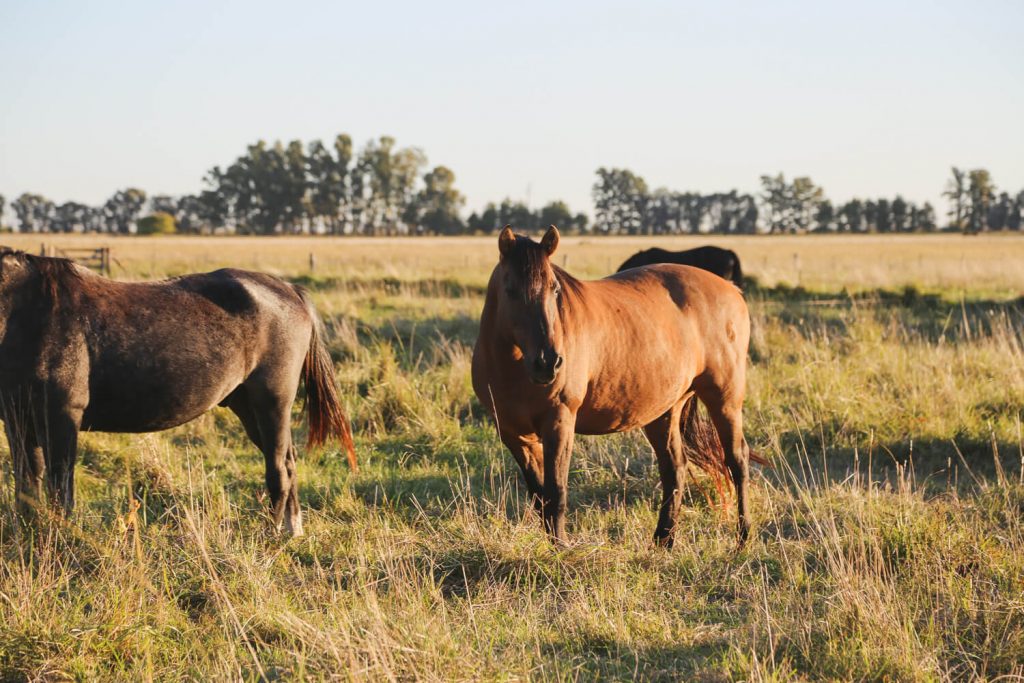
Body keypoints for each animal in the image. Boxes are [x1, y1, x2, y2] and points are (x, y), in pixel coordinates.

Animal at [0, 248, 356, 536]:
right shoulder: (18, 422)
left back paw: (272, 535)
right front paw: (29, 537)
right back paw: (292, 530)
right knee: (288, 462)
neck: (23, 313)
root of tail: (290, 291)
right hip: (248, 408)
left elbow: (61, 491)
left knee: (279, 469)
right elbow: (26, 486)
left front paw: (57, 541)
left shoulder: (62, 418)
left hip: (272, 403)